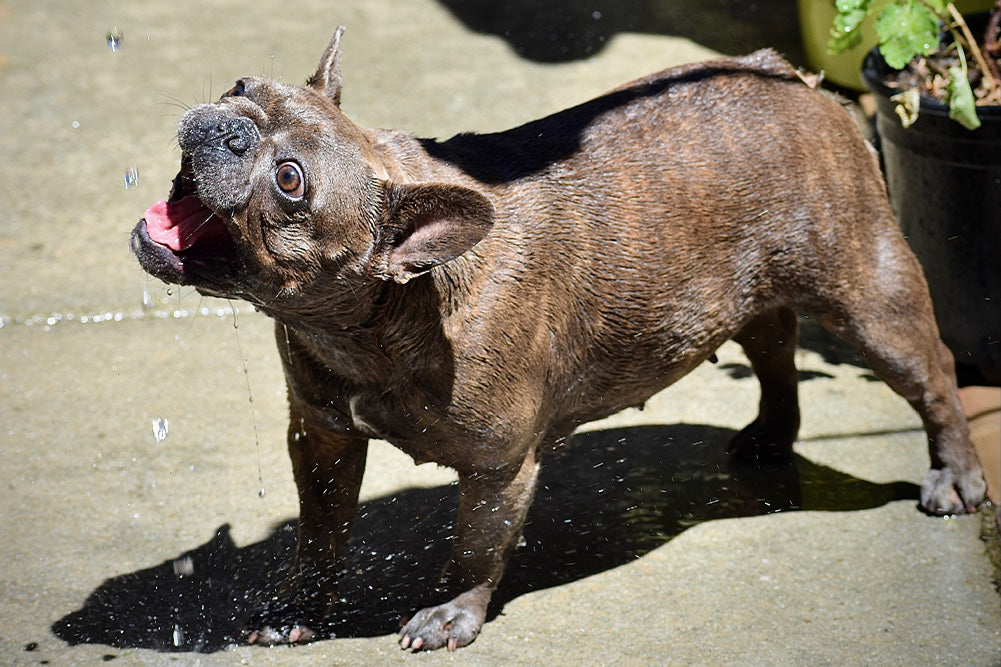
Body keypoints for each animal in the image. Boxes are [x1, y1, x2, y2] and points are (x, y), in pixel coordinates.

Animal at [131, 27, 984, 648]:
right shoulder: (321, 432)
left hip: (868, 296)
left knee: (931, 375)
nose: (231, 124)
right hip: (758, 289)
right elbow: (320, 528)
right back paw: (771, 434)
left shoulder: (498, 463)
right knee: (775, 346)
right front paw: (297, 606)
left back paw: (955, 478)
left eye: (290, 181)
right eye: (242, 87)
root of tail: (787, 76)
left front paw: (450, 614)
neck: (381, 313)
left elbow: (476, 544)